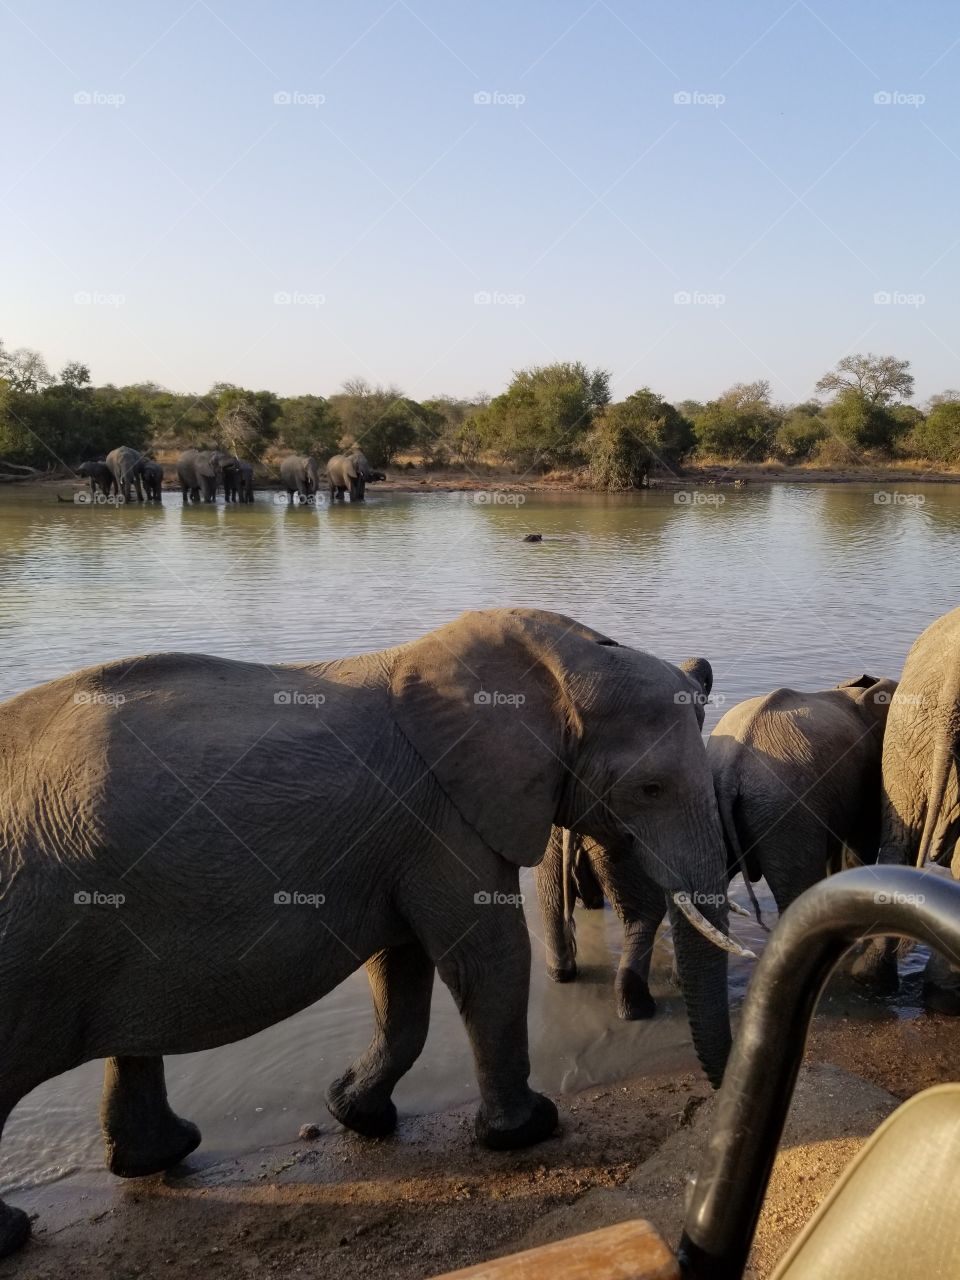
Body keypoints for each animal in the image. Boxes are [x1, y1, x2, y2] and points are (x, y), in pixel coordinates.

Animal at [0, 608, 737, 1257]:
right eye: (650, 788)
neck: (561, 655)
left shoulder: (407, 834)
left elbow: (401, 966)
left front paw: (356, 1116)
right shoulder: (447, 816)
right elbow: (488, 956)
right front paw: (529, 1130)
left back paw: (164, 1153)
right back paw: (23, 1229)